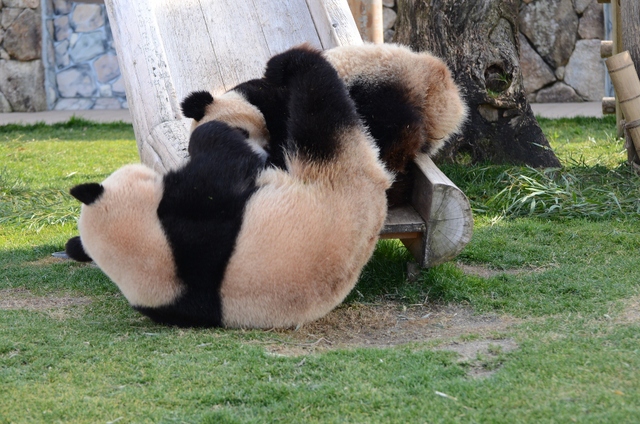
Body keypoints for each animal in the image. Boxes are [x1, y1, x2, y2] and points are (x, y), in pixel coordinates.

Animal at [65, 45, 390, 328]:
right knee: (320, 103)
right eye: (245, 133)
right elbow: (222, 154)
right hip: (332, 167)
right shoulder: (203, 206)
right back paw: (289, 63)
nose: (266, 155)